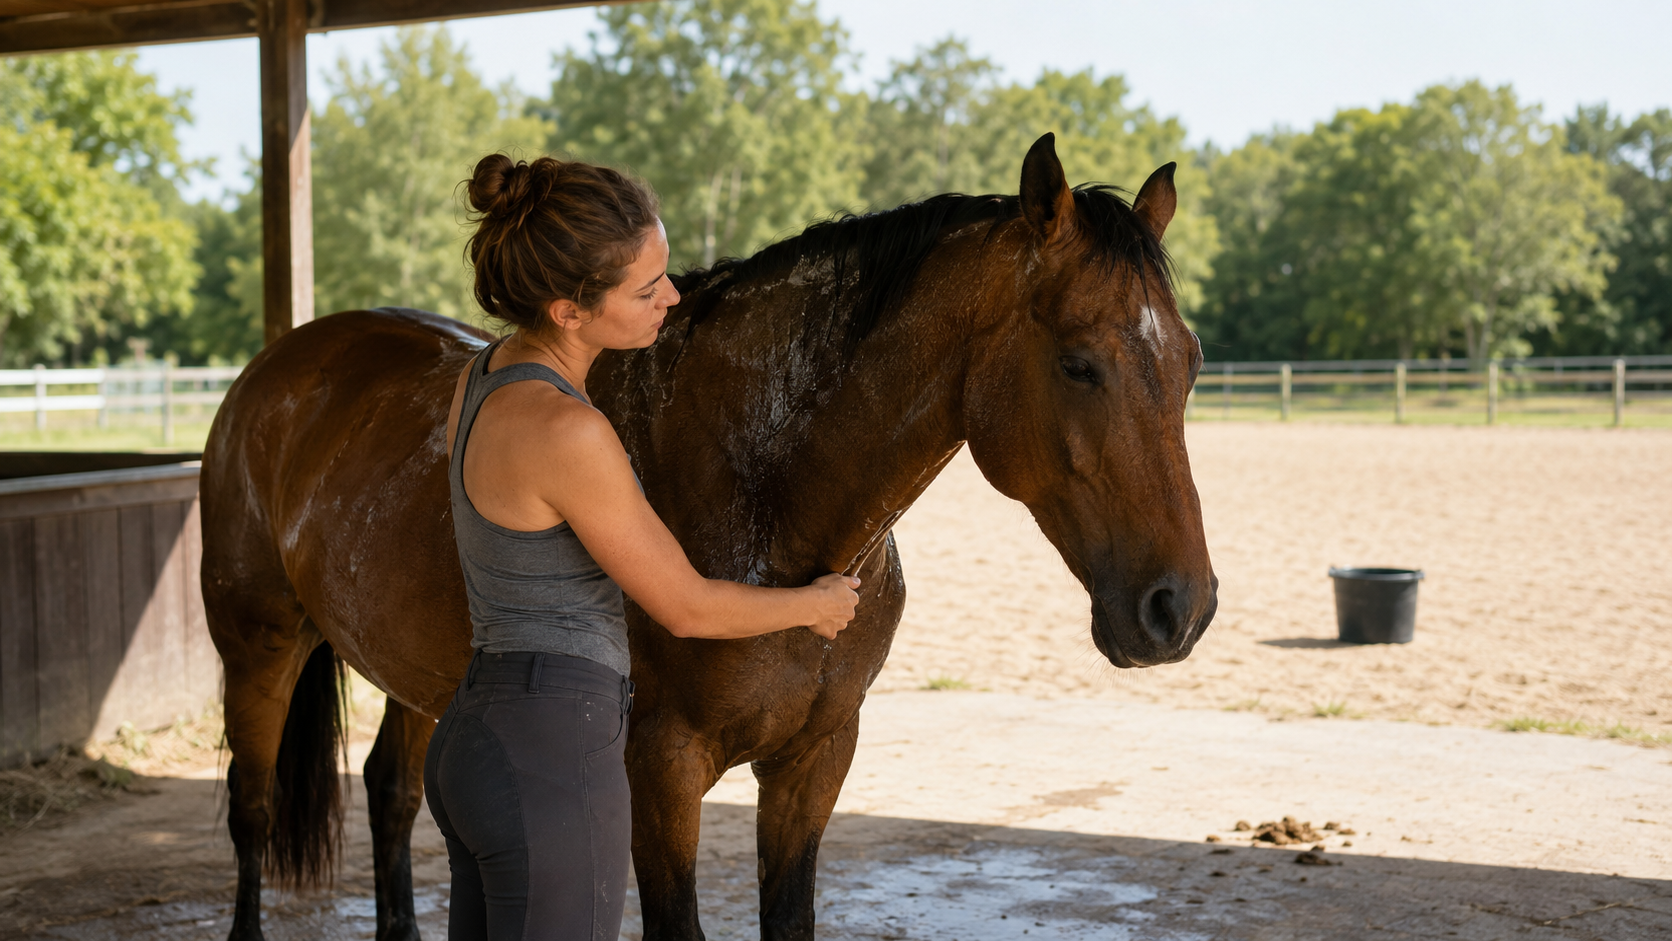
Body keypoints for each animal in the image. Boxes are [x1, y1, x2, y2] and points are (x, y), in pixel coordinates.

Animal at [200, 133, 1216, 941]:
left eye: (1192, 360)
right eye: (1078, 363)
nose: (1180, 609)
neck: (766, 493)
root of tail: (284, 363)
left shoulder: (815, 761)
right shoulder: (661, 770)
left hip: (416, 675)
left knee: (390, 792)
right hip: (258, 645)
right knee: (251, 810)